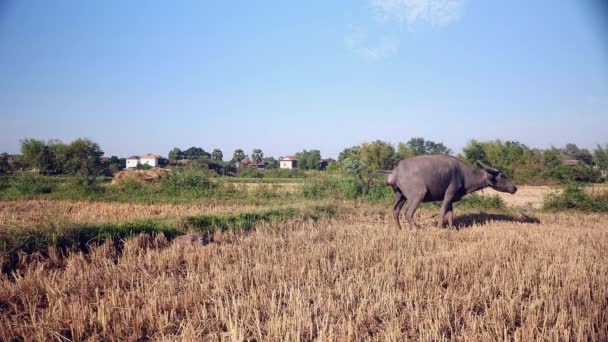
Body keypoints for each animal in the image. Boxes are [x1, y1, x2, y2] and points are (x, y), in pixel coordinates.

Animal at [366, 155, 516, 230]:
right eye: (502, 175)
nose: (514, 188)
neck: (464, 175)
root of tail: (395, 171)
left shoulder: (451, 198)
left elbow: (450, 213)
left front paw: (451, 228)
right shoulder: (449, 194)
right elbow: (443, 211)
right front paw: (439, 227)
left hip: (400, 195)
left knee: (395, 210)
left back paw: (399, 229)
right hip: (417, 195)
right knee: (408, 212)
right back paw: (415, 229)